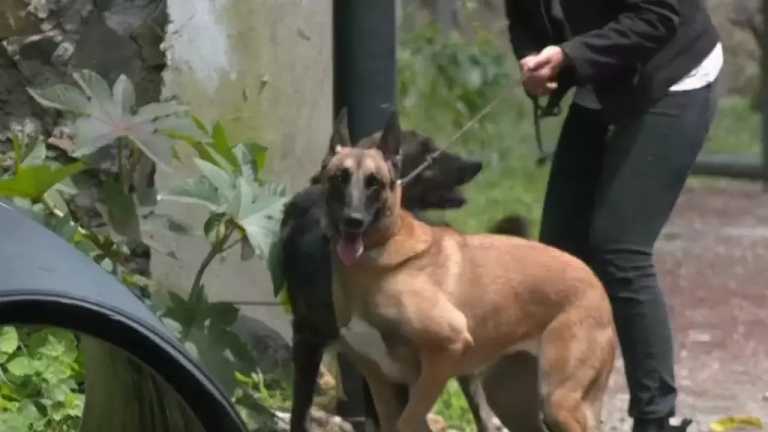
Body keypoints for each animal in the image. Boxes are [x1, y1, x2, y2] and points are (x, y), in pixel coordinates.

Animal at [320, 113, 616, 432]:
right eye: (340, 178)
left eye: (374, 183)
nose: (353, 221)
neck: (375, 263)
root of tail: (595, 281)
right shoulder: (381, 384)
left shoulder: (444, 354)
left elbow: (408, 421)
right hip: (510, 397)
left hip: (558, 401)